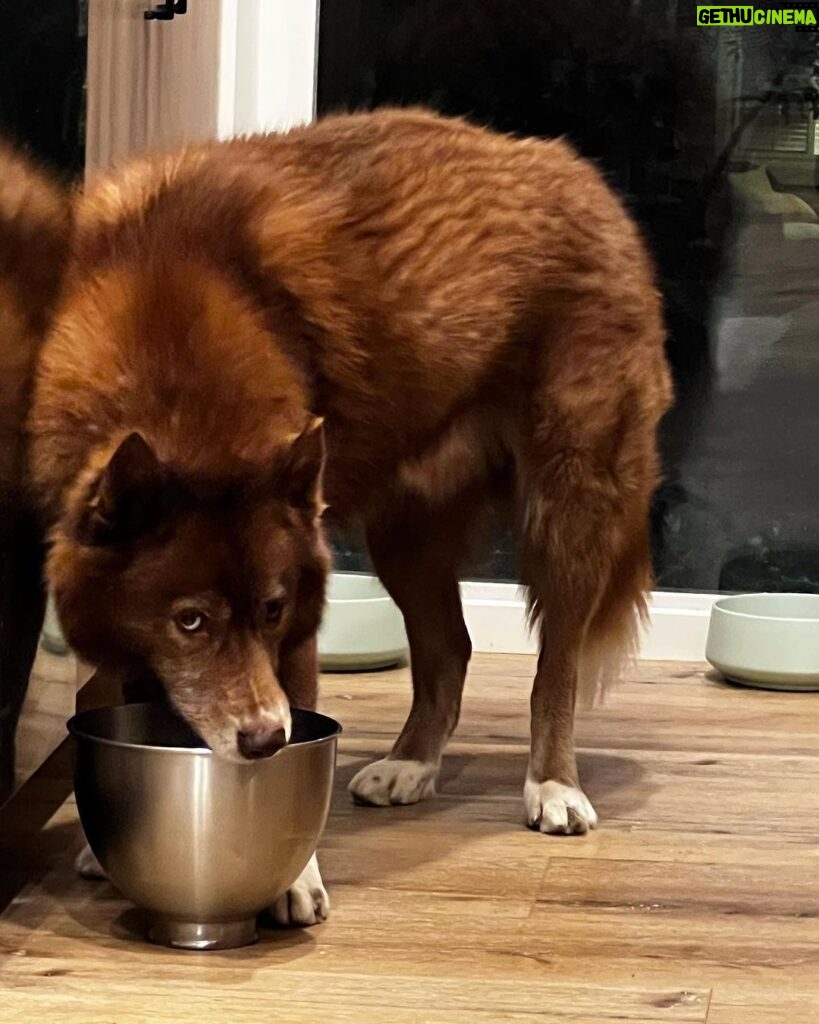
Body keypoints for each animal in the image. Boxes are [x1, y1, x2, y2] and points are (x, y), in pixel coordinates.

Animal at [27, 108, 671, 925]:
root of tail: (582, 174)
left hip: (570, 504)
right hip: (405, 534)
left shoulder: (297, 628)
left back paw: (554, 787)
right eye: (189, 621)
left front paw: (293, 877)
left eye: (272, 611)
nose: (264, 740)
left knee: (554, 664)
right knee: (447, 650)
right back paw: (409, 765)